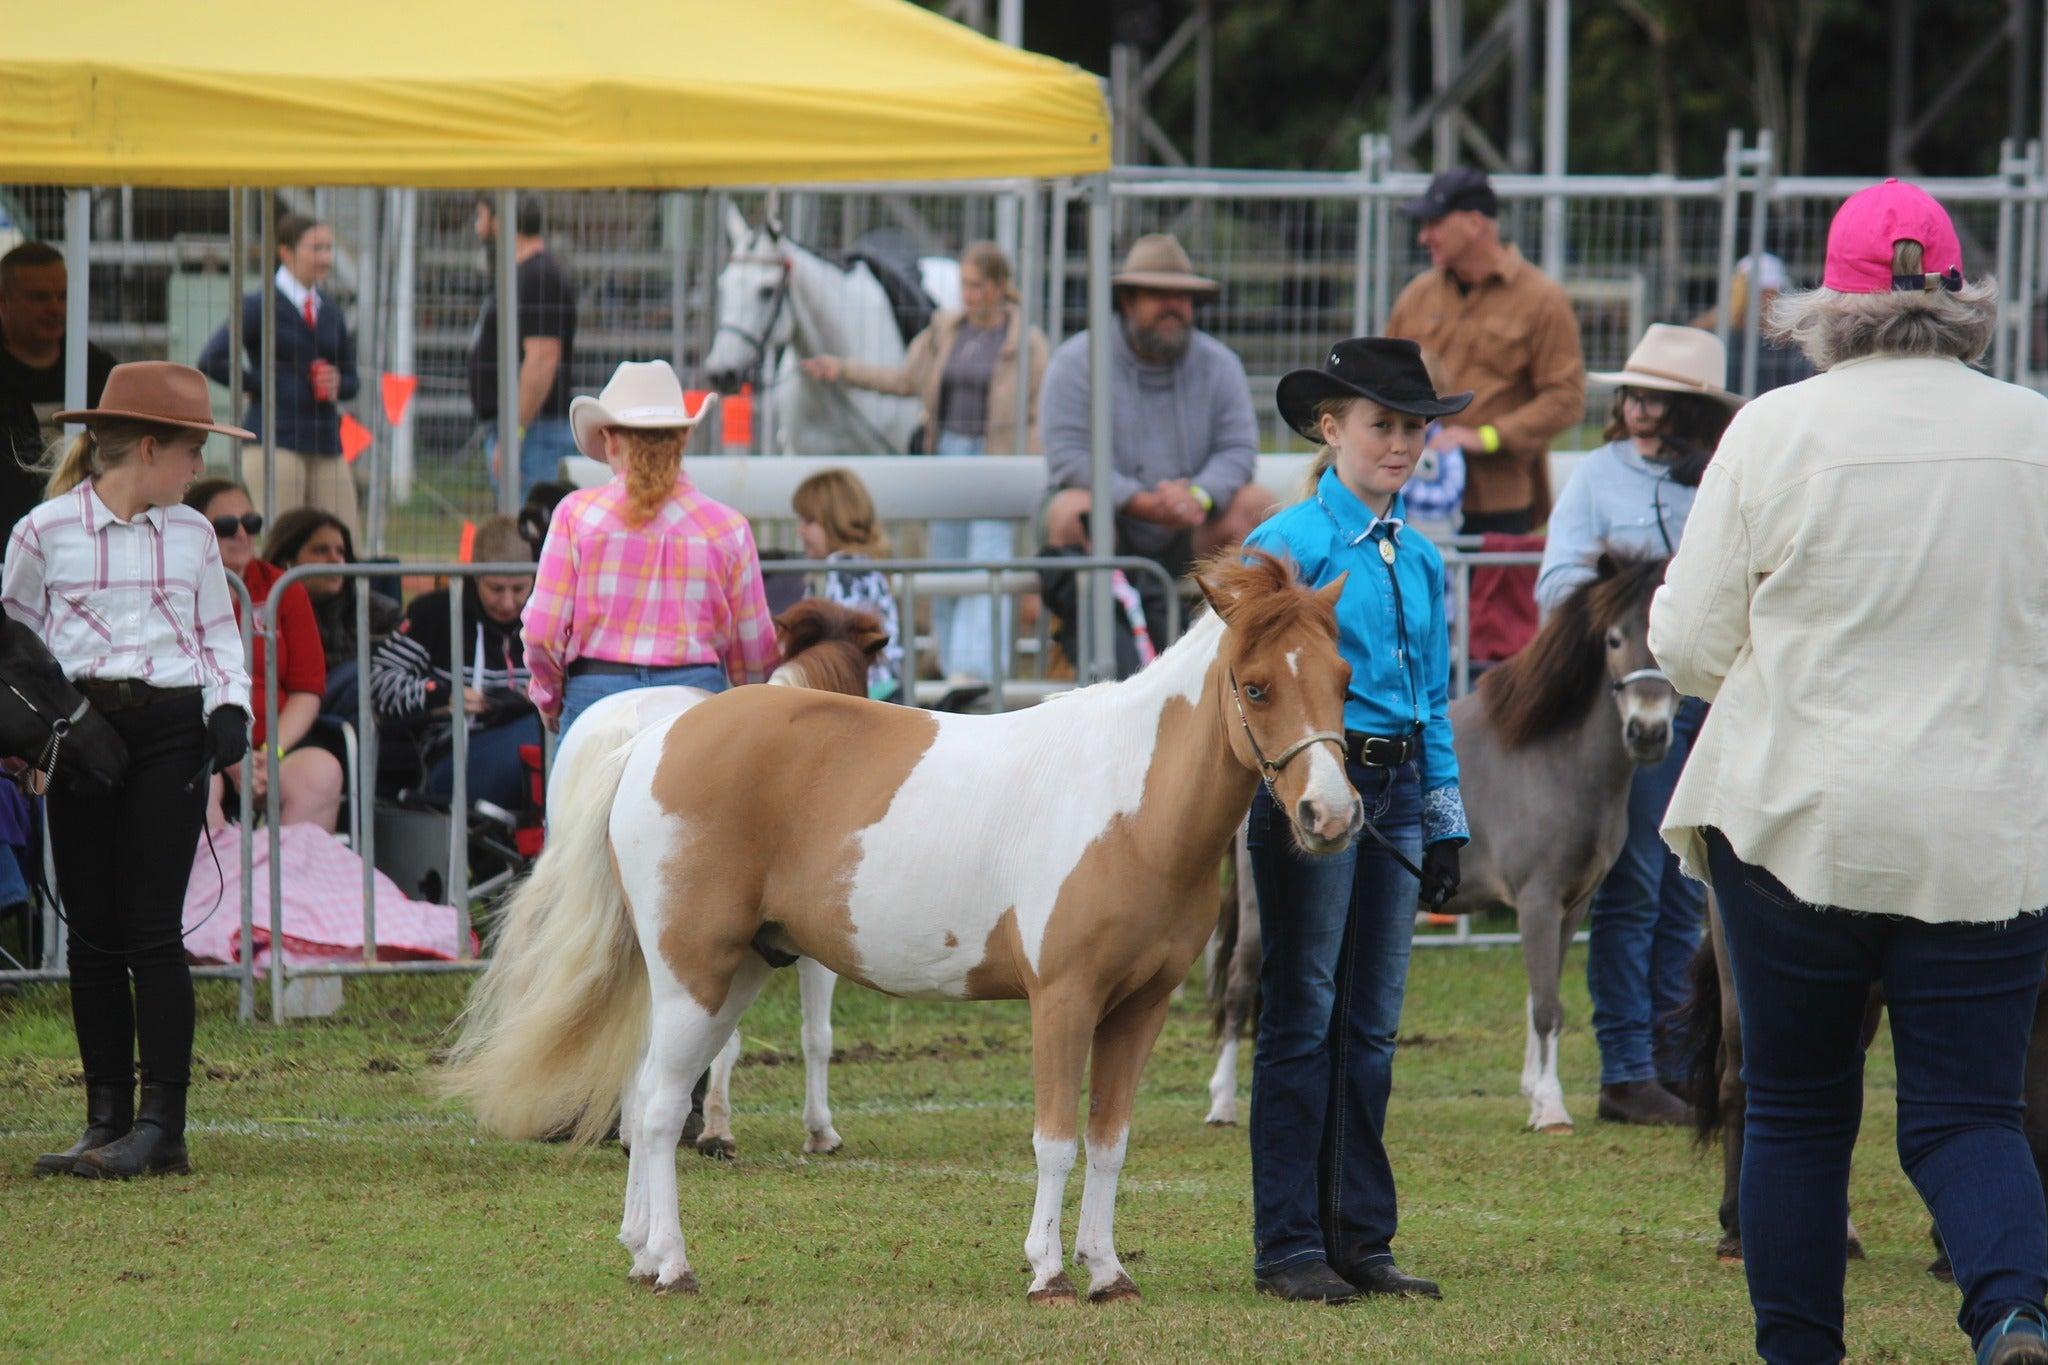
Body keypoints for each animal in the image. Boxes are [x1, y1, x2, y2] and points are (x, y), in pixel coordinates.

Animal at [1204, 553, 1679, 1133]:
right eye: (1614, 639)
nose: (1648, 732)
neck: (1554, 756)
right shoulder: (1538, 900)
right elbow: (1547, 1005)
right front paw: (1549, 1106)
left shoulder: (1573, 905)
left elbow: (1541, 998)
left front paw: (1532, 1088)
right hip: (1258, 910)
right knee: (1239, 987)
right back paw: (1223, 1102)